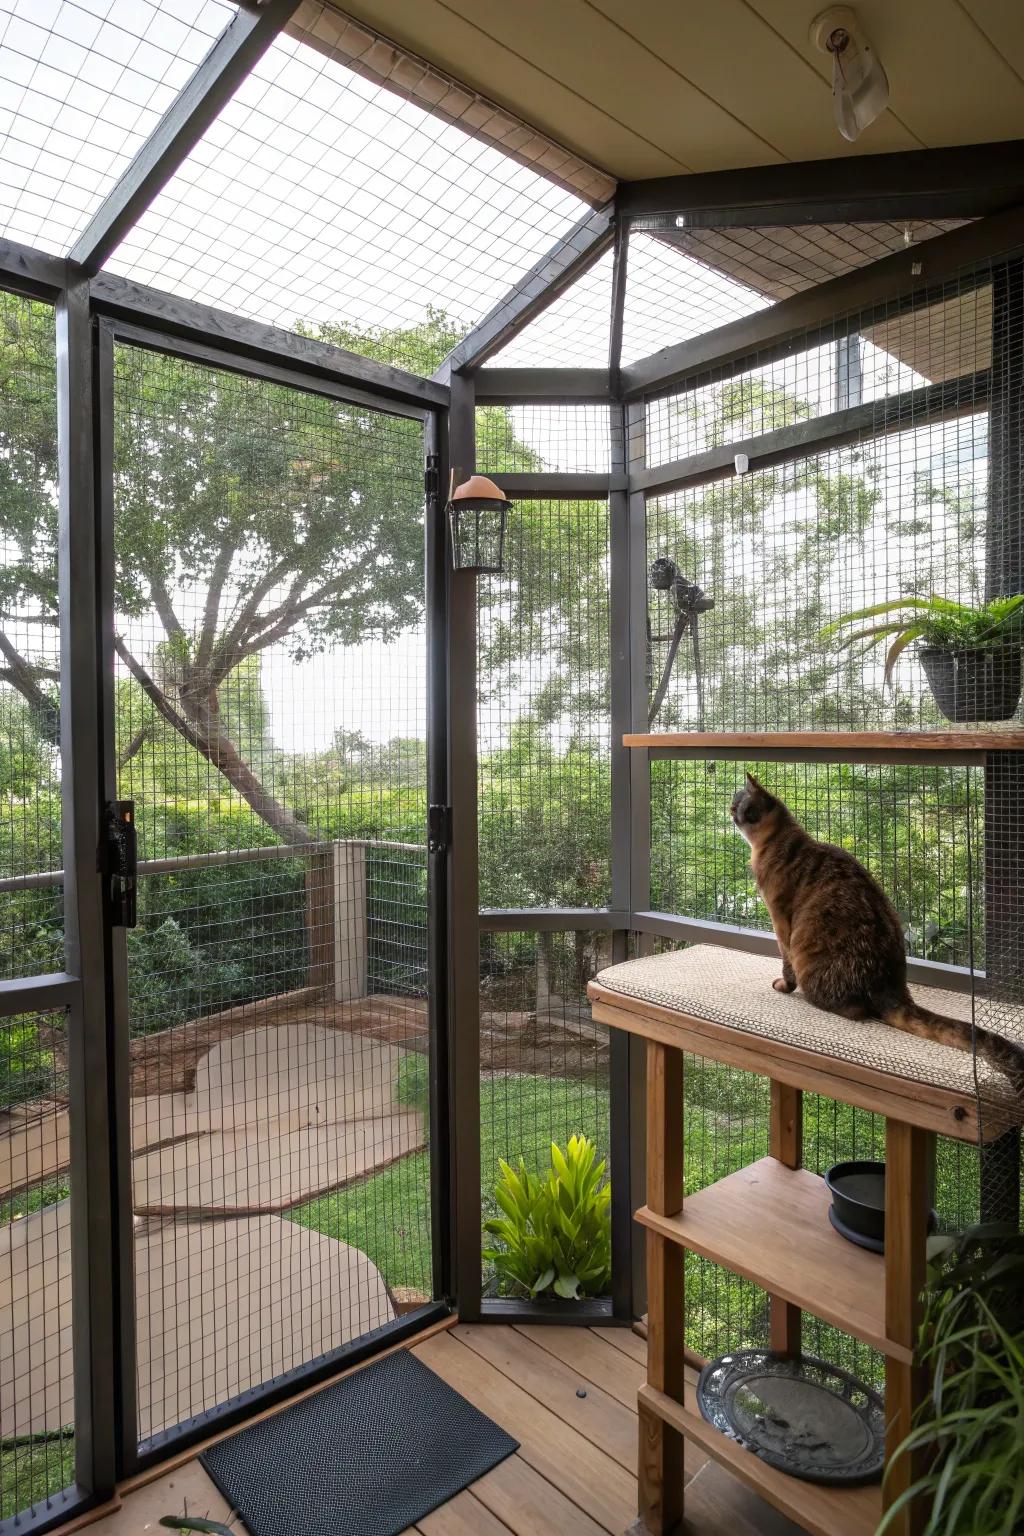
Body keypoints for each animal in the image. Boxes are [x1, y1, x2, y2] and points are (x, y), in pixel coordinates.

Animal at [727, 768, 1024, 1093]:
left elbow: (785, 963)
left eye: (740, 804)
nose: (731, 812)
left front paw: (783, 986)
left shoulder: (780, 921)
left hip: (811, 961)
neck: (778, 840)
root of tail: (890, 983)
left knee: (853, 1009)